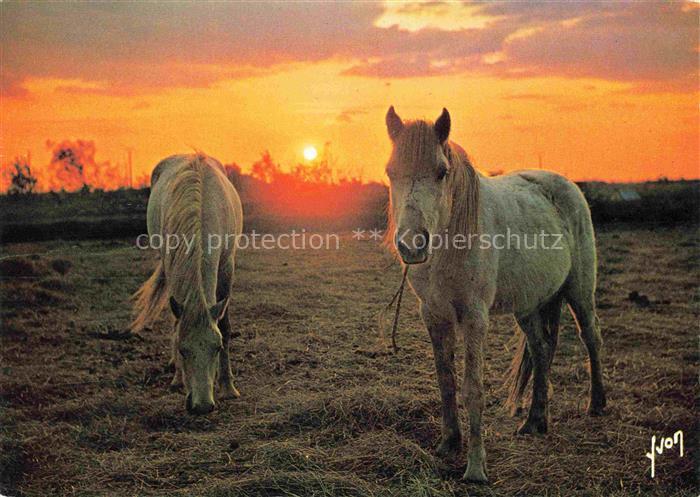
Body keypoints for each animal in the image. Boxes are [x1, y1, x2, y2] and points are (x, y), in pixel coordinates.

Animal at [131, 153, 243, 415]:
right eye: (183, 349)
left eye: (217, 347)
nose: (201, 406)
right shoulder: (172, 265)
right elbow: (176, 323)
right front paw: (177, 378)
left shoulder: (226, 267)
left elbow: (225, 326)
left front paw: (228, 387)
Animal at [384, 106, 606, 482]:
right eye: (390, 172)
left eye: (442, 172)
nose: (412, 245)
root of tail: (566, 186)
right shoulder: (434, 315)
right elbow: (446, 381)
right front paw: (449, 444)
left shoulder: (475, 318)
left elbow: (473, 388)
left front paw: (475, 468)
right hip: (529, 306)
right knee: (541, 349)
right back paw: (535, 421)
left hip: (579, 292)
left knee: (590, 336)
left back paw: (598, 404)